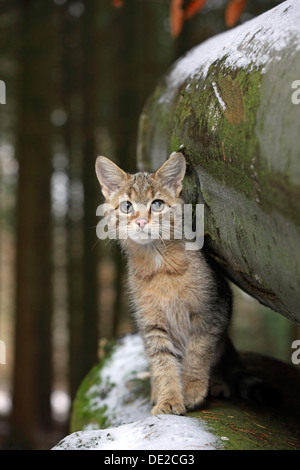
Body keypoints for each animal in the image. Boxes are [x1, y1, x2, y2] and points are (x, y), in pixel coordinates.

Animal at [96, 152, 258, 414]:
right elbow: (163, 365)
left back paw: (217, 383)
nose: (141, 222)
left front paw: (192, 389)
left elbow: (197, 355)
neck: (159, 265)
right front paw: (169, 399)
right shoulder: (152, 324)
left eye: (157, 204)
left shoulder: (209, 315)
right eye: (127, 206)